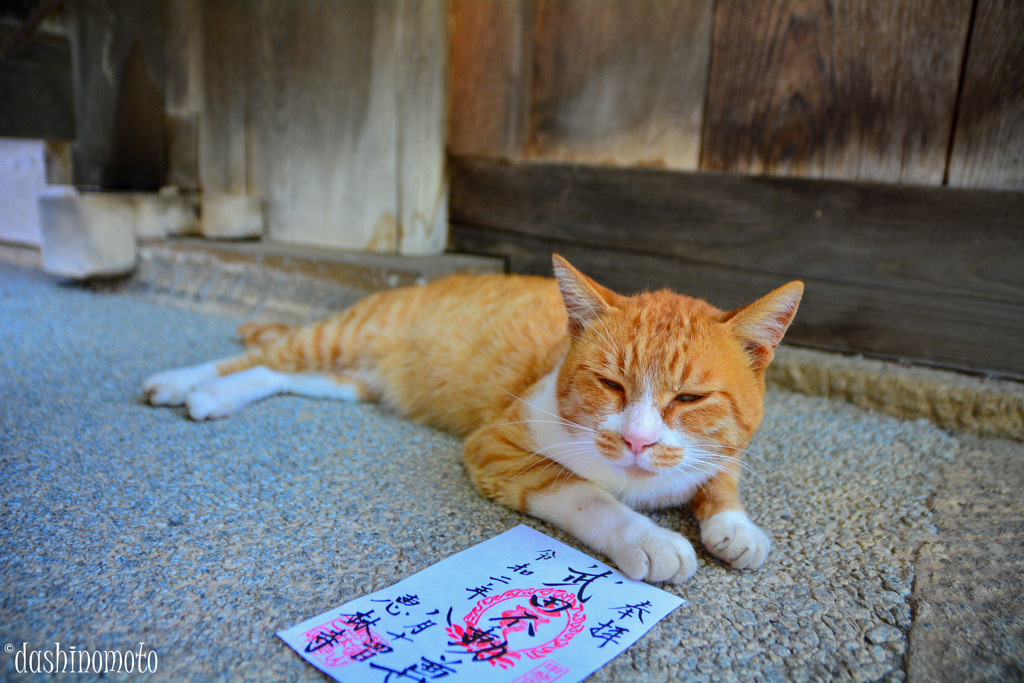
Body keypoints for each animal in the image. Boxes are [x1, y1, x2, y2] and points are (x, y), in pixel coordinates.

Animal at [142, 253, 798, 585]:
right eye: (610, 384)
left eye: (689, 399)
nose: (637, 440)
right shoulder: (497, 448)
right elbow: (585, 493)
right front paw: (649, 538)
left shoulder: (721, 449)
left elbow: (720, 474)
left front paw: (734, 526)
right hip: (333, 340)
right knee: (255, 356)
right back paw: (185, 382)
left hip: (350, 380)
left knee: (273, 374)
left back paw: (219, 394)